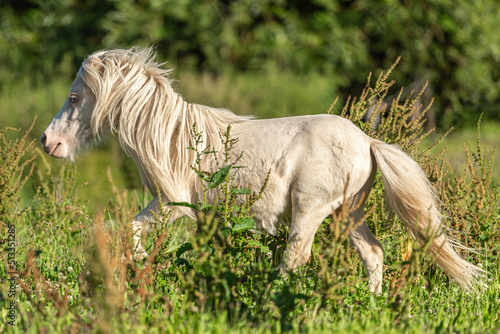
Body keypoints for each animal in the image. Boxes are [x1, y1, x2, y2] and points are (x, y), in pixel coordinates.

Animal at [42, 46, 484, 292]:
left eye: (75, 97)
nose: (48, 142)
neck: (172, 138)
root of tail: (368, 142)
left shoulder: (172, 203)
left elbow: (132, 229)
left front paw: (137, 270)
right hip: (347, 213)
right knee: (373, 255)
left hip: (310, 210)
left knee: (295, 258)